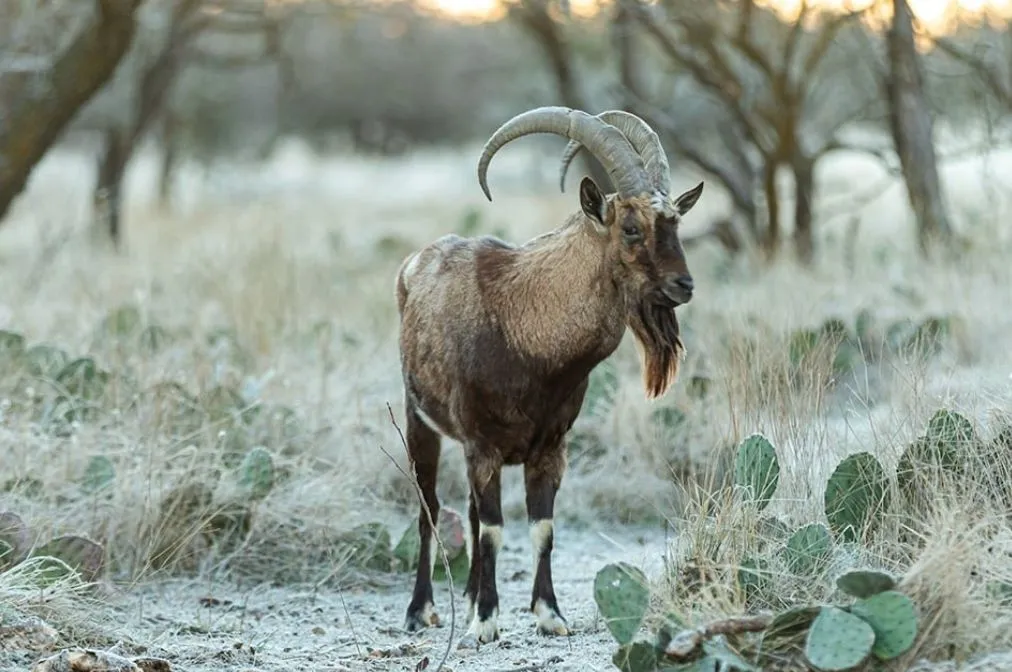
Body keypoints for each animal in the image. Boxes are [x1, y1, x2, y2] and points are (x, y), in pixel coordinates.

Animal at [394, 106, 704, 647]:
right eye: (630, 227)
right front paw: (486, 622)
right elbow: (494, 529)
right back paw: (421, 610)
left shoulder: (549, 448)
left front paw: (548, 614)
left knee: (468, 513)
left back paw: (469, 597)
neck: (525, 329)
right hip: (419, 422)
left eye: (675, 222)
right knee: (429, 508)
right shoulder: (484, 446)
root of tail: (414, 266)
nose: (682, 285)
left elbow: (541, 528)